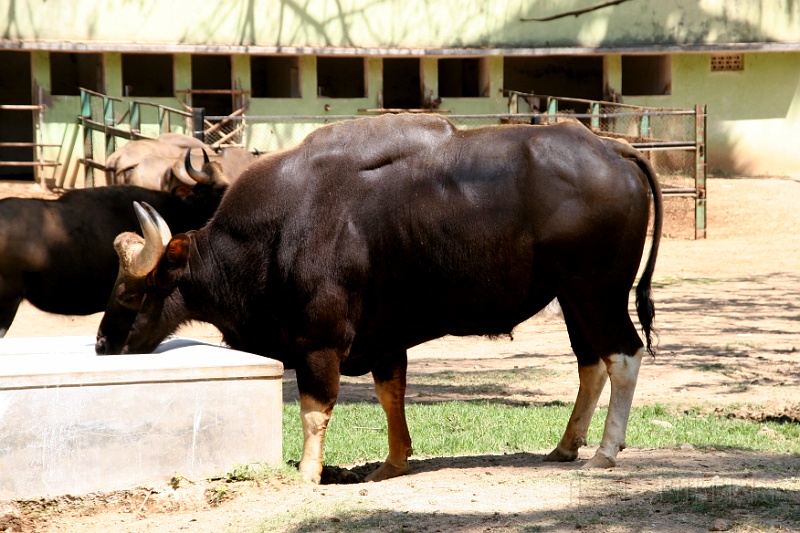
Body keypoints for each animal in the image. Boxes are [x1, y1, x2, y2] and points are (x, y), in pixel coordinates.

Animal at [96, 114, 662, 483]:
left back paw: (605, 452)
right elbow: (392, 396)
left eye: (127, 290)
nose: (101, 343)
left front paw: (309, 473)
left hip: (597, 292)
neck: (277, 231)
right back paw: (566, 446)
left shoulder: (318, 341)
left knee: (624, 356)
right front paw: (393, 463)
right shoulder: (386, 341)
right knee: (591, 363)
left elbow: (314, 406)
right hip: (571, 297)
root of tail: (611, 148)